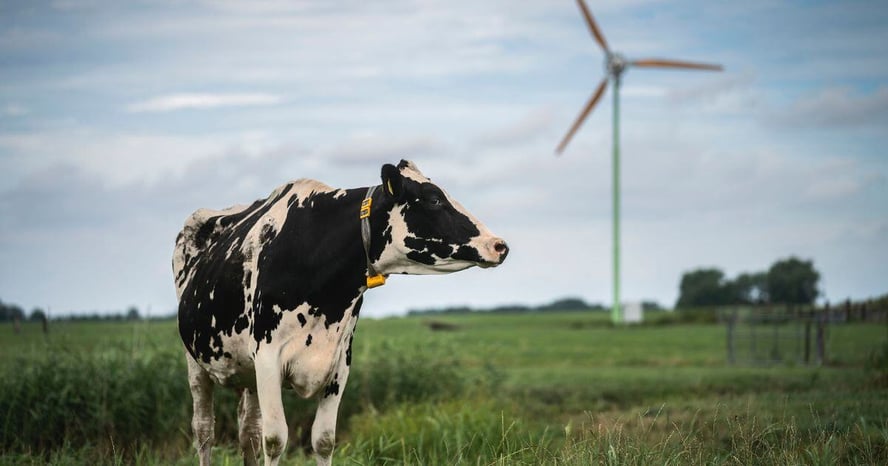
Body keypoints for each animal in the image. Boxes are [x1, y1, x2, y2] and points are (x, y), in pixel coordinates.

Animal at [172, 160, 506, 466]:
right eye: (434, 199)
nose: (499, 245)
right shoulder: (268, 357)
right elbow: (275, 439)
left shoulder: (340, 362)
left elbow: (323, 439)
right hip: (195, 362)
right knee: (204, 429)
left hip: (247, 371)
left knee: (248, 432)